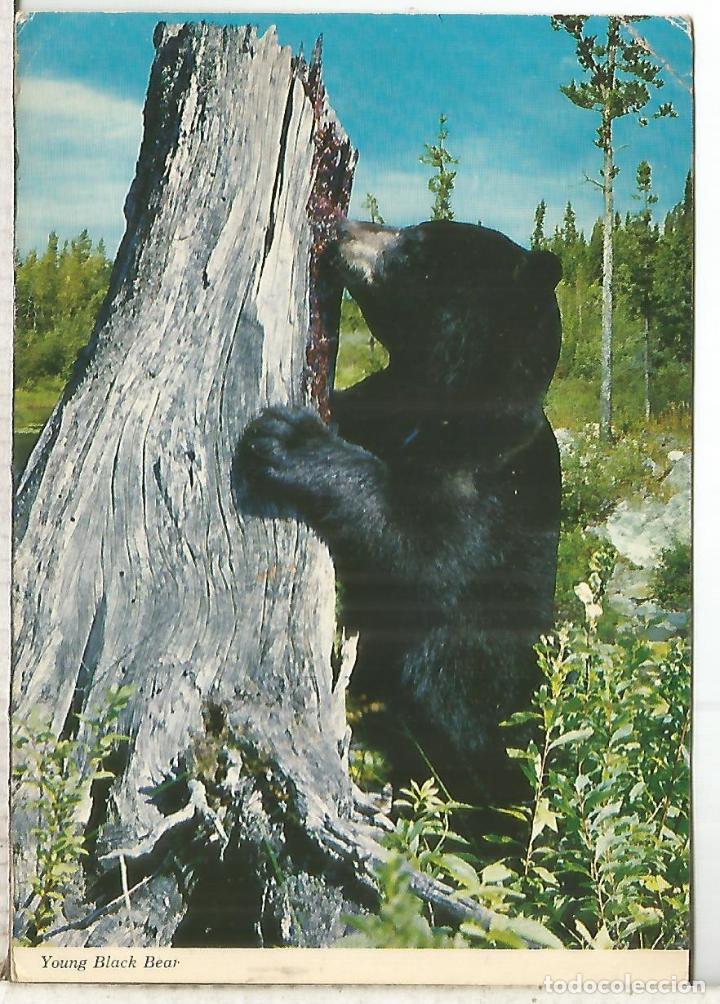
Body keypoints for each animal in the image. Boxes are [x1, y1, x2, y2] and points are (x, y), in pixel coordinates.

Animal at [239, 218, 562, 804]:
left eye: (416, 246)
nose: (343, 229)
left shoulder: (490, 483)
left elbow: (421, 548)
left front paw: (289, 439)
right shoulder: (382, 405)